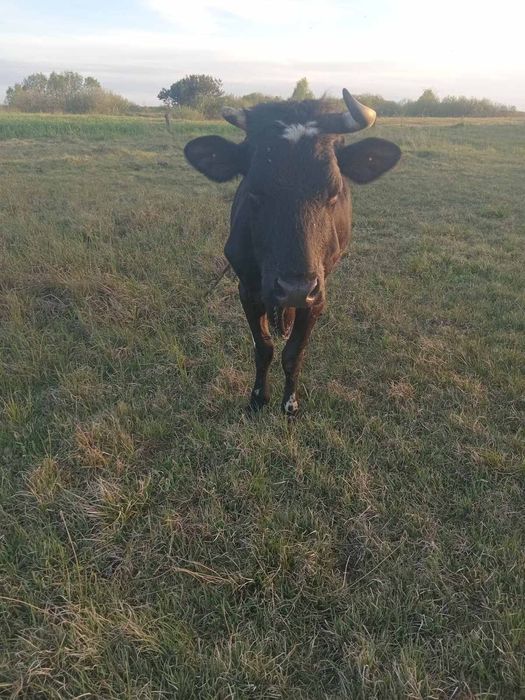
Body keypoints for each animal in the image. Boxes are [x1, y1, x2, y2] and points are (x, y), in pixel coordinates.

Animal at [184, 89, 401, 416]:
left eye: (334, 191)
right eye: (254, 189)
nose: (295, 288)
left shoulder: (317, 296)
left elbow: (293, 353)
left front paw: (290, 403)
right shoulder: (247, 290)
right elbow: (264, 348)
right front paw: (258, 398)